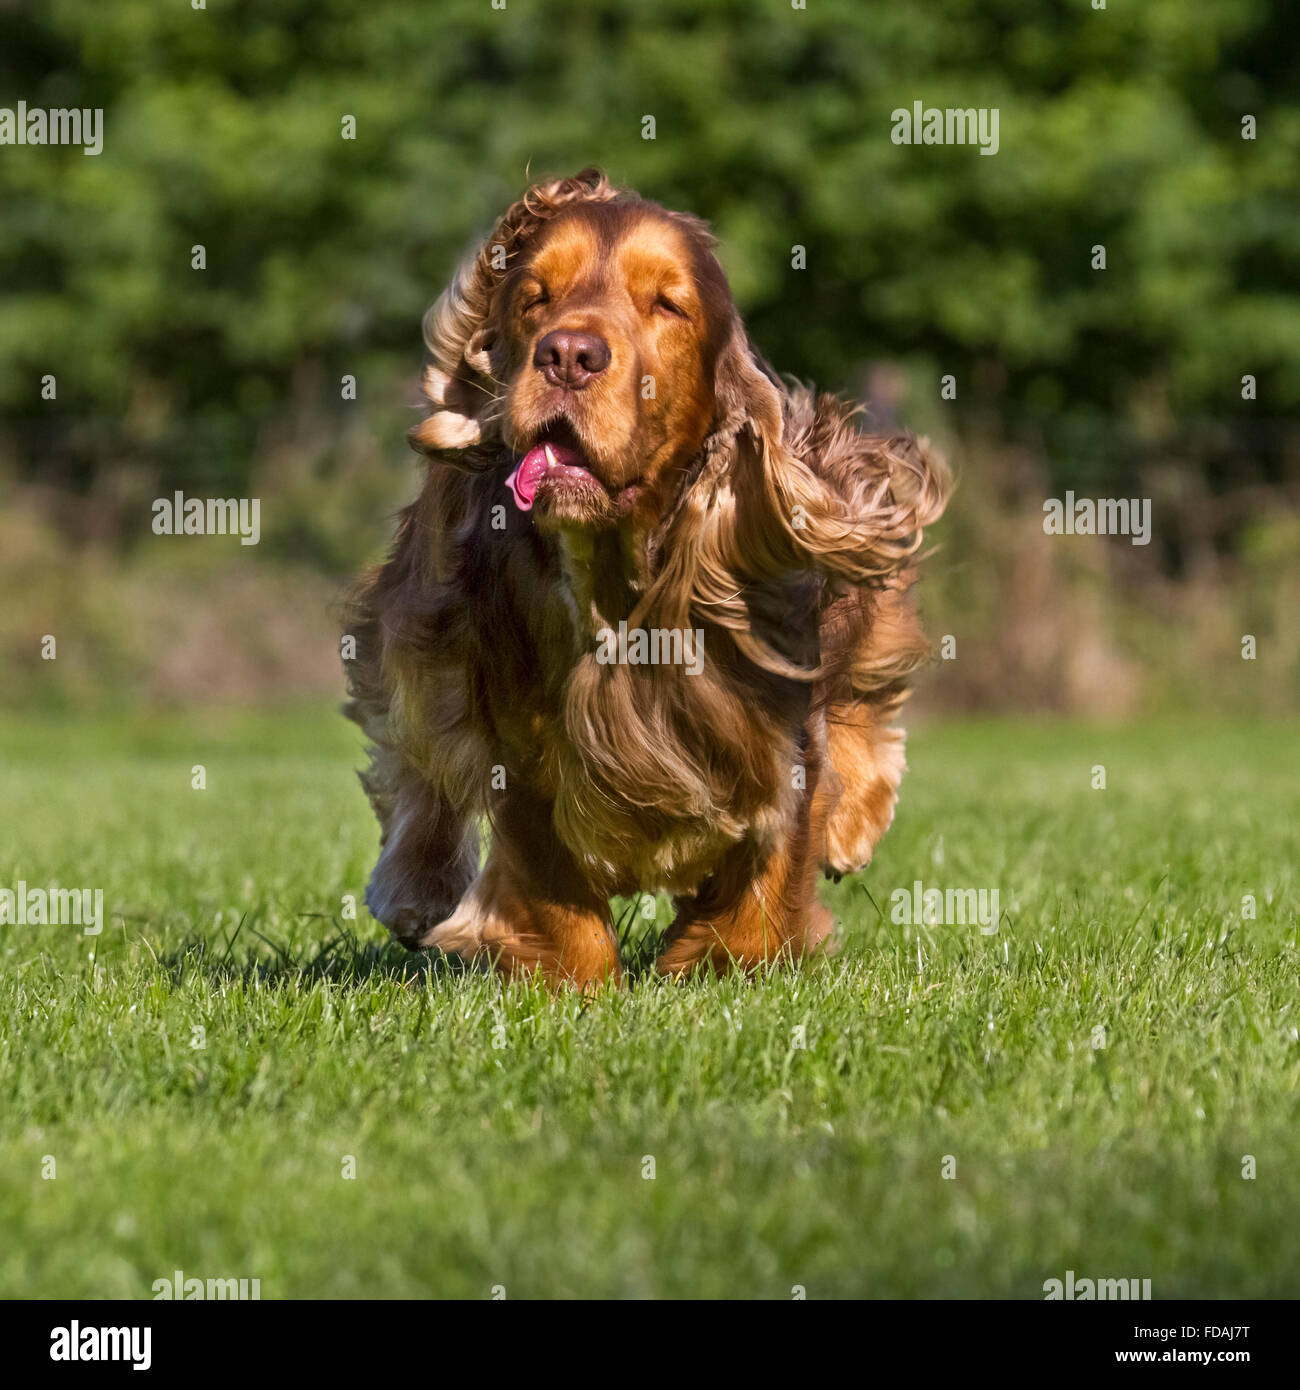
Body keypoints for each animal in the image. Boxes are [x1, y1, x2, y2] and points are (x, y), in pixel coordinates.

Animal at [343, 168, 945, 989]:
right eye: (534, 297)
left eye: (668, 304)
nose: (568, 355)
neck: (616, 579)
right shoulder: (523, 742)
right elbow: (548, 873)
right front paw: (576, 981)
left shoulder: (774, 725)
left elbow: (769, 869)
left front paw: (725, 963)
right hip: (430, 609)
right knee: (419, 754)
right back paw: (413, 889)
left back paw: (851, 828)